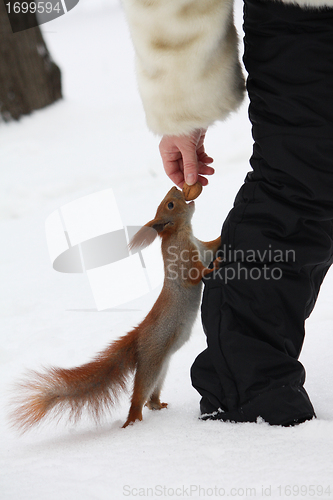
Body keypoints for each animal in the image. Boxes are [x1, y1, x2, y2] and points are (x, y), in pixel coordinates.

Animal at [11, 188, 222, 430]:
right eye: (169, 204)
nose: (177, 189)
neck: (182, 232)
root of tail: (138, 336)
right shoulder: (184, 262)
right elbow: (196, 274)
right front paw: (214, 267)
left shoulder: (203, 248)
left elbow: (213, 245)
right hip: (151, 362)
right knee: (139, 396)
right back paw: (133, 421)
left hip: (161, 367)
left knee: (151, 396)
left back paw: (158, 405)